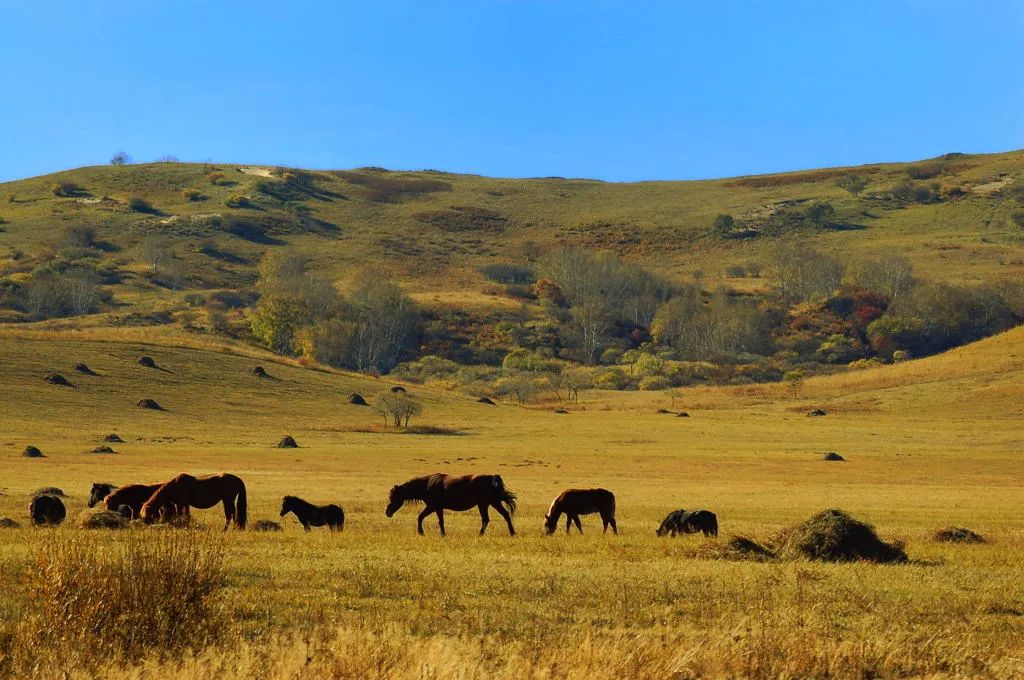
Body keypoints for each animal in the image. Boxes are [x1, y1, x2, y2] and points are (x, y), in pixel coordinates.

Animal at [385, 473, 516, 536]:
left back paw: (481, 534)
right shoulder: (438, 508)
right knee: (503, 515)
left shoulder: (432, 506)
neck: (426, 485)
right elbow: (441, 521)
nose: (387, 512)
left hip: (485, 503)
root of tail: (491, 478)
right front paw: (443, 534)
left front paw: (421, 532)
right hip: (491, 502)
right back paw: (512, 533)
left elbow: (420, 517)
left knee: (488, 519)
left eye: (392, 497)